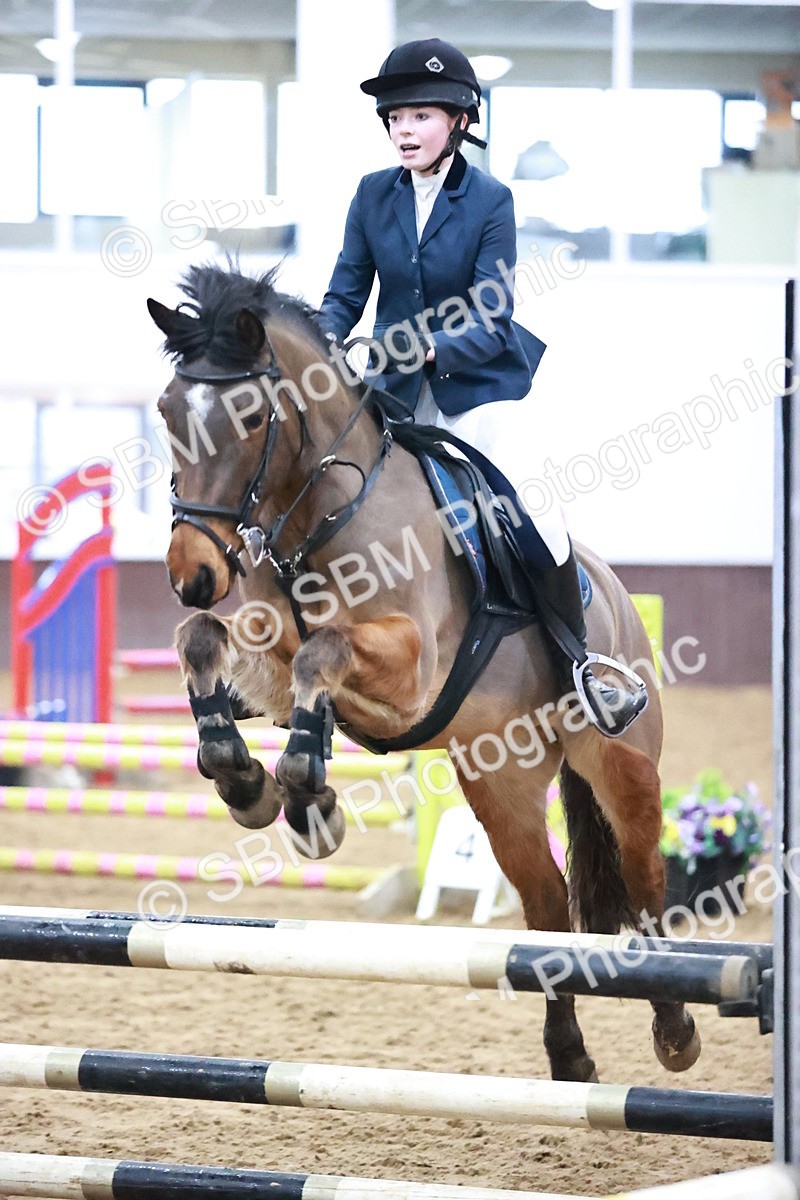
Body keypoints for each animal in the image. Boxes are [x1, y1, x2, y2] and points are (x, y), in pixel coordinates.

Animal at [147, 263, 700, 1084]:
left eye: (248, 416)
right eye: (166, 410)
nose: (193, 574)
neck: (327, 510)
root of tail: (617, 593)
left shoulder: (410, 672)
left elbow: (322, 652)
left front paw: (306, 798)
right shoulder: (269, 649)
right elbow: (203, 641)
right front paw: (249, 782)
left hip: (621, 762)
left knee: (644, 882)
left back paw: (674, 1027)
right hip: (500, 779)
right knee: (545, 904)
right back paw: (569, 1057)